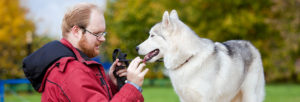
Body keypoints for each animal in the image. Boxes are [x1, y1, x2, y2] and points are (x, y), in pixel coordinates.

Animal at [136, 9, 264, 102]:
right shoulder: (184, 99)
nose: (136, 48)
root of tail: (250, 45)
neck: (188, 59)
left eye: (152, 35)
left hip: (250, 95)